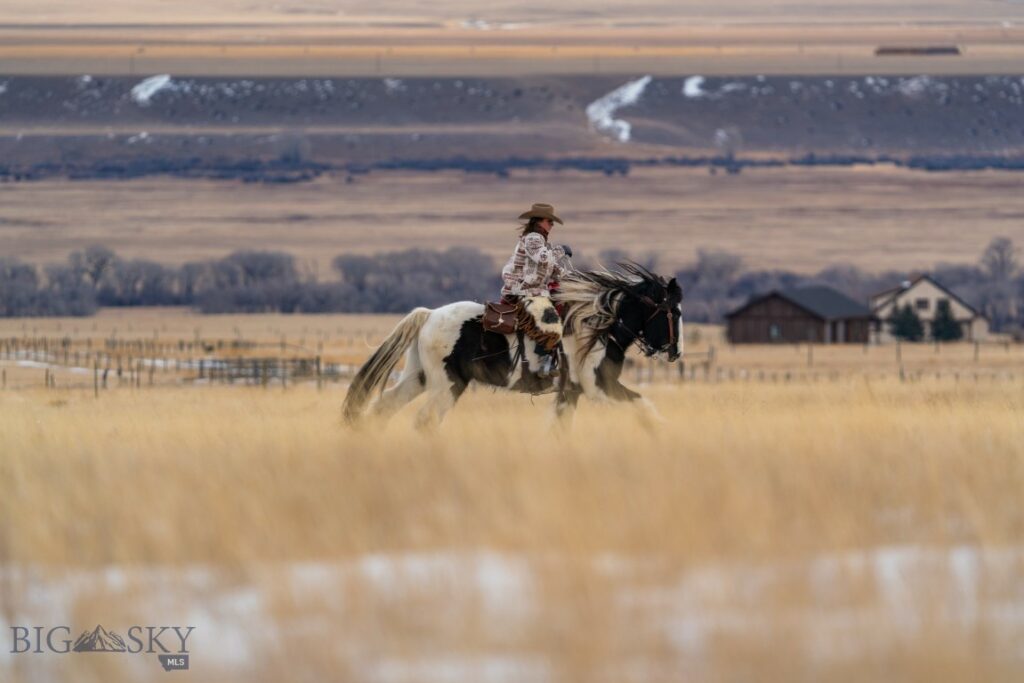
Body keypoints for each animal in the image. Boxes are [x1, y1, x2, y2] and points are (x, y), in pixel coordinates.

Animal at [339, 264, 684, 430]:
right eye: (674, 312)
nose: (675, 352)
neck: (596, 326)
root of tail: (429, 315)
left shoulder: (571, 391)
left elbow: (559, 427)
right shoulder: (600, 385)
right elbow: (644, 406)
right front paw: (662, 431)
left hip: (419, 377)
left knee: (384, 407)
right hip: (448, 384)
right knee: (425, 420)